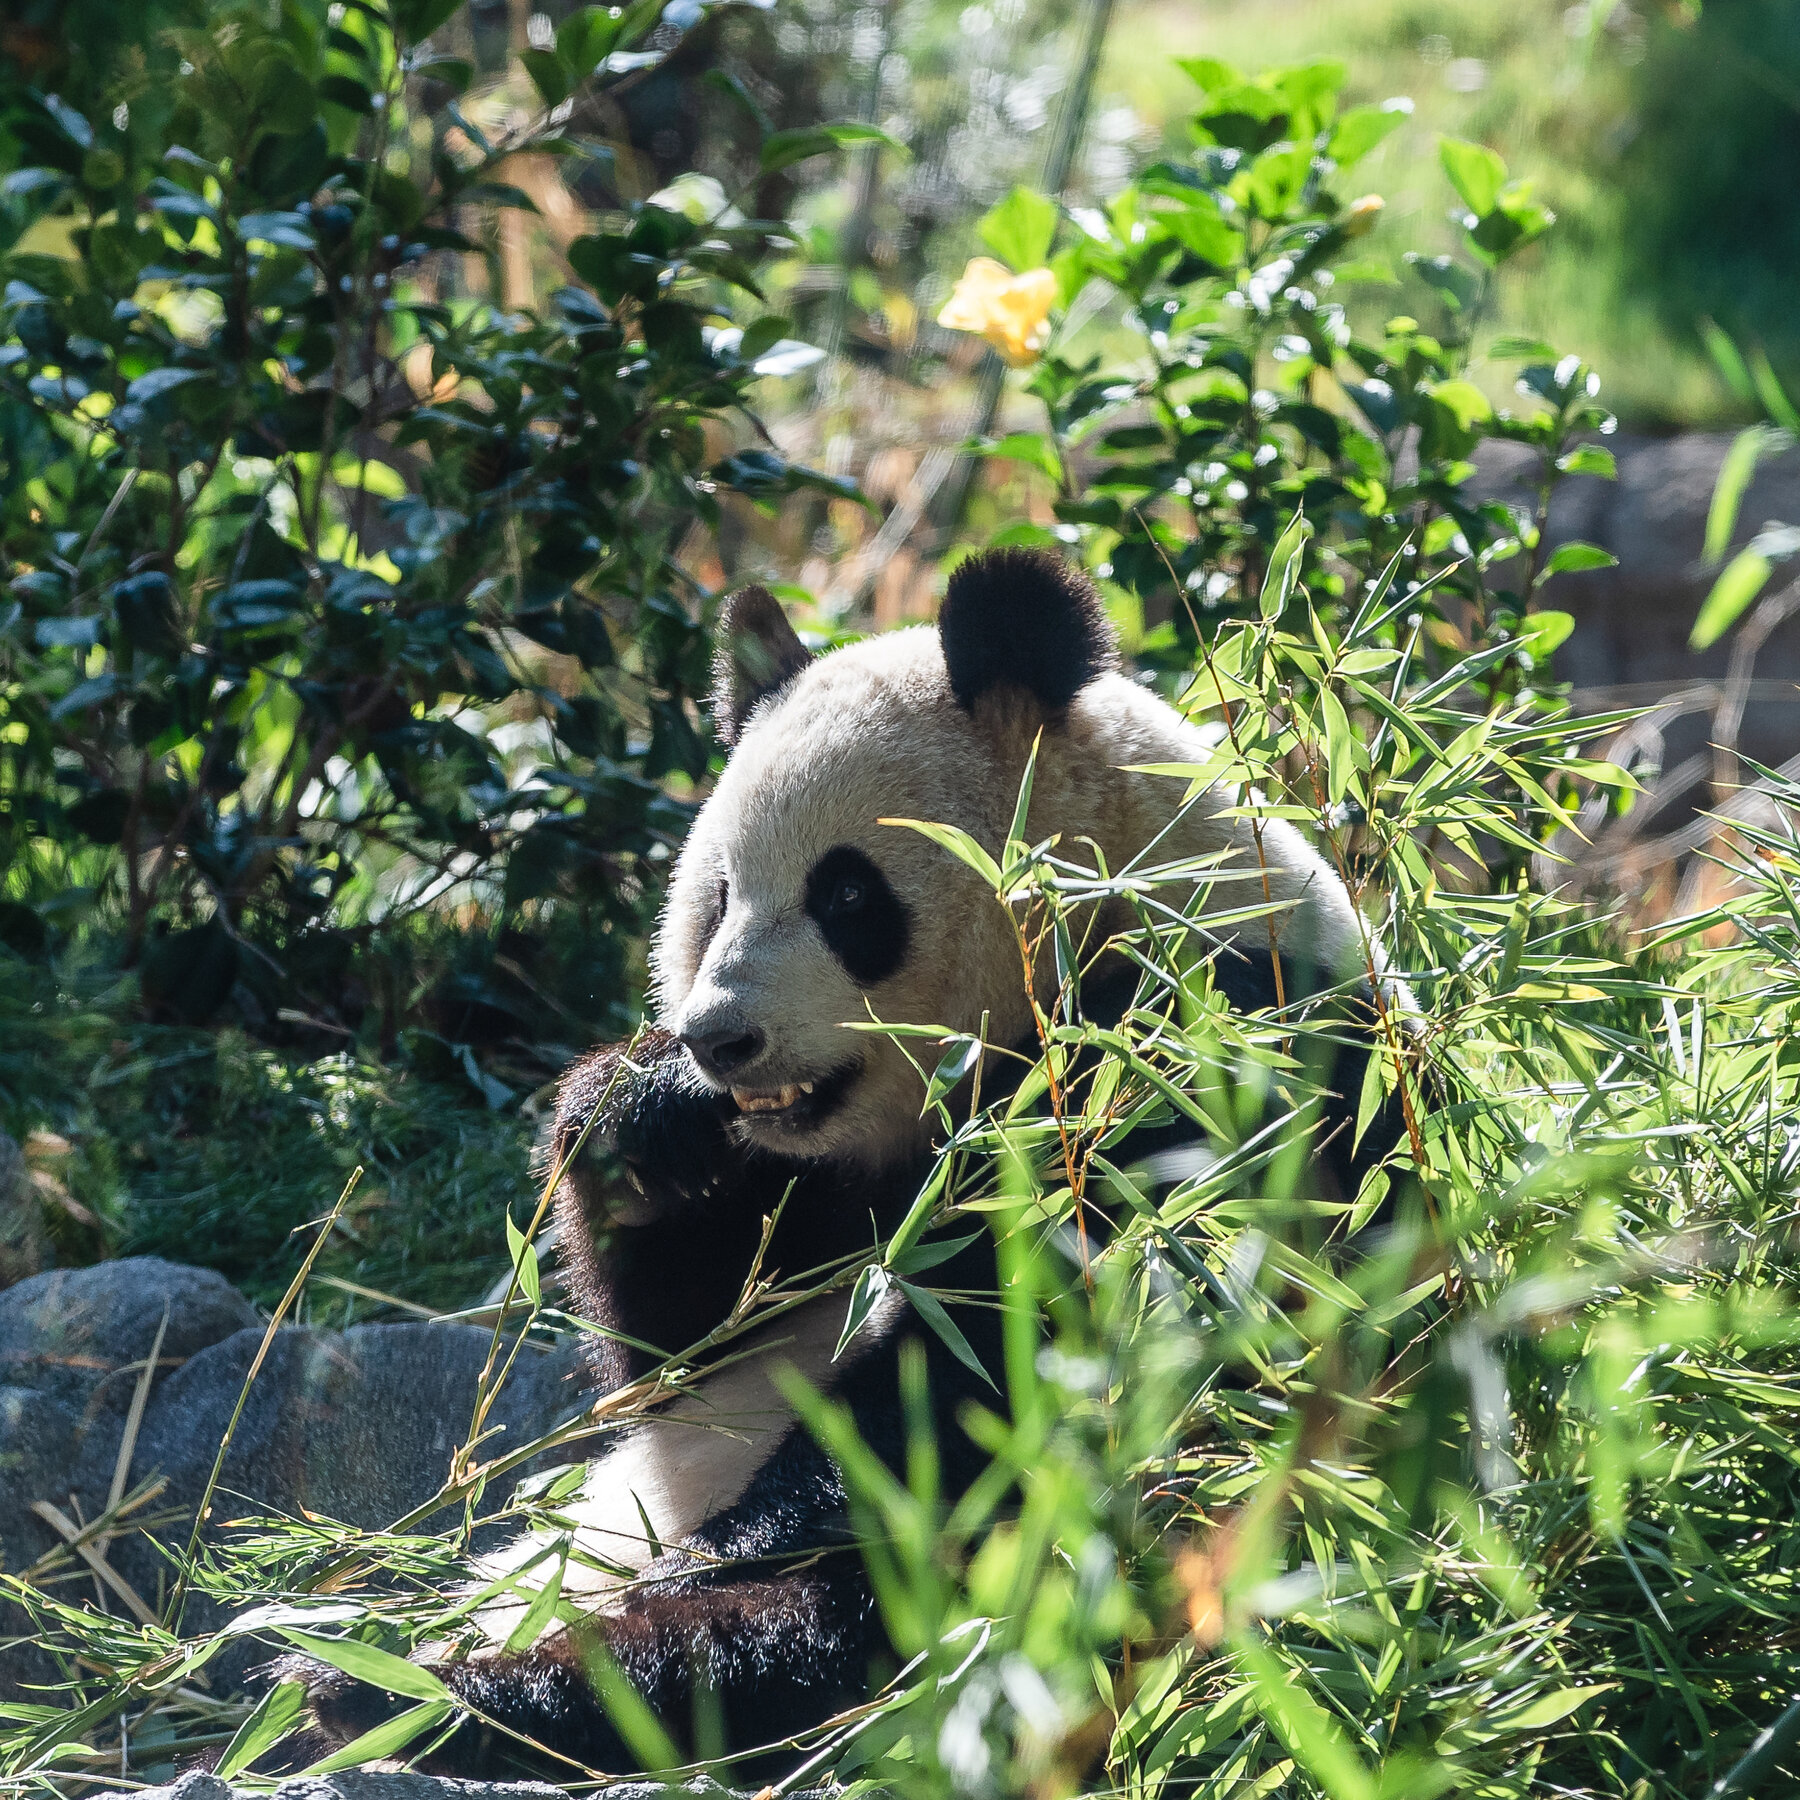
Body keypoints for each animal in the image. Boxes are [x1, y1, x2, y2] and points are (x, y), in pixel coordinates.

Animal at [284, 549, 1410, 1778]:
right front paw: (642, 1120)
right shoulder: (814, 1186)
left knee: (811, 1641)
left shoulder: (1204, 1060)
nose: (719, 1039)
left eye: (848, 895)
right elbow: (678, 1352)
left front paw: (720, 1550)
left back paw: (451, 1695)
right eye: (718, 895)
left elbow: (1001, 1363)